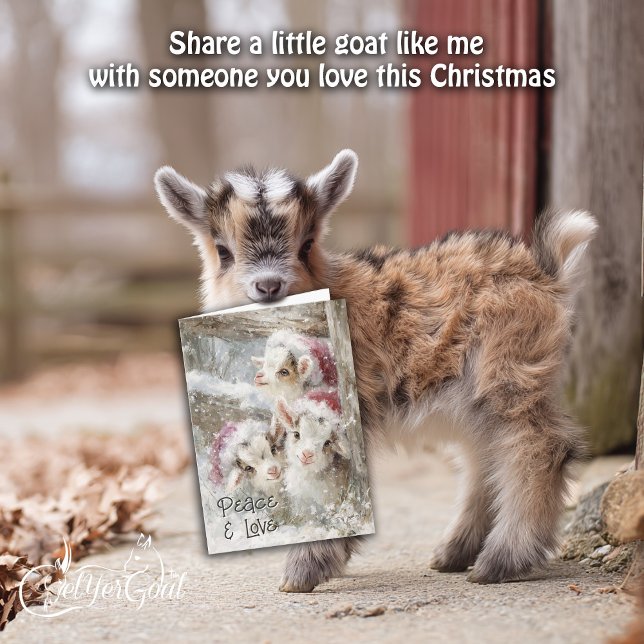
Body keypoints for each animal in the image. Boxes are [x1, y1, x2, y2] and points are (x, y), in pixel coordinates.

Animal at [156, 149, 597, 591]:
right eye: (222, 251)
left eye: (306, 244)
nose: (268, 286)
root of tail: (547, 274)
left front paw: (302, 572)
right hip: (475, 398)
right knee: (485, 458)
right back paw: (453, 553)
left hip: (507, 371)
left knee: (536, 447)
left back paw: (500, 561)